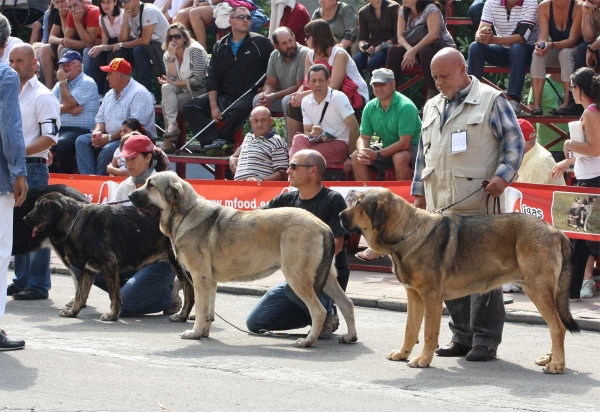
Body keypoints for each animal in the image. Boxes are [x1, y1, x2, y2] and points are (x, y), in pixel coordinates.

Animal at [22, 192, 192, 322]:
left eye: (37, 207)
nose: (24, 218)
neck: (73, 221)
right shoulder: (88, 271)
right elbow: (80, 295)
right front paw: (73, 312)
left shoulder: (109, 266)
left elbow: (114, 296)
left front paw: (112, 315)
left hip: (180, 264)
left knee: (189, 289)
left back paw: (182, 316)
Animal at [129, 171, 356, 348]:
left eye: (150, 185)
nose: (130, 195)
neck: (184, 213)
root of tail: (322, 226)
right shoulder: (210, 281)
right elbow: (209, 310)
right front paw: (204, 332)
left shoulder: (199, 277)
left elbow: (200, 309)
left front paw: (194, 333)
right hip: (326, 277)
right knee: (347, 303)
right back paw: (350, 337)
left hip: (297, 277)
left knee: (319, 310)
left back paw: (308, 341)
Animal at [340, 188, 580, 374]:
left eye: (359, 204)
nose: (340, 214)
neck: (406, 233)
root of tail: (556, 231)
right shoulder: (414, 296)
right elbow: (410, 329)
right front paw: (402, 353)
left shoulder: (431, 298)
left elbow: (429, 333)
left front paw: (423, 360)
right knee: (554, 325)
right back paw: (550, 358)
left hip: (537, 289)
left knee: (557, 326)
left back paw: (557, 365)